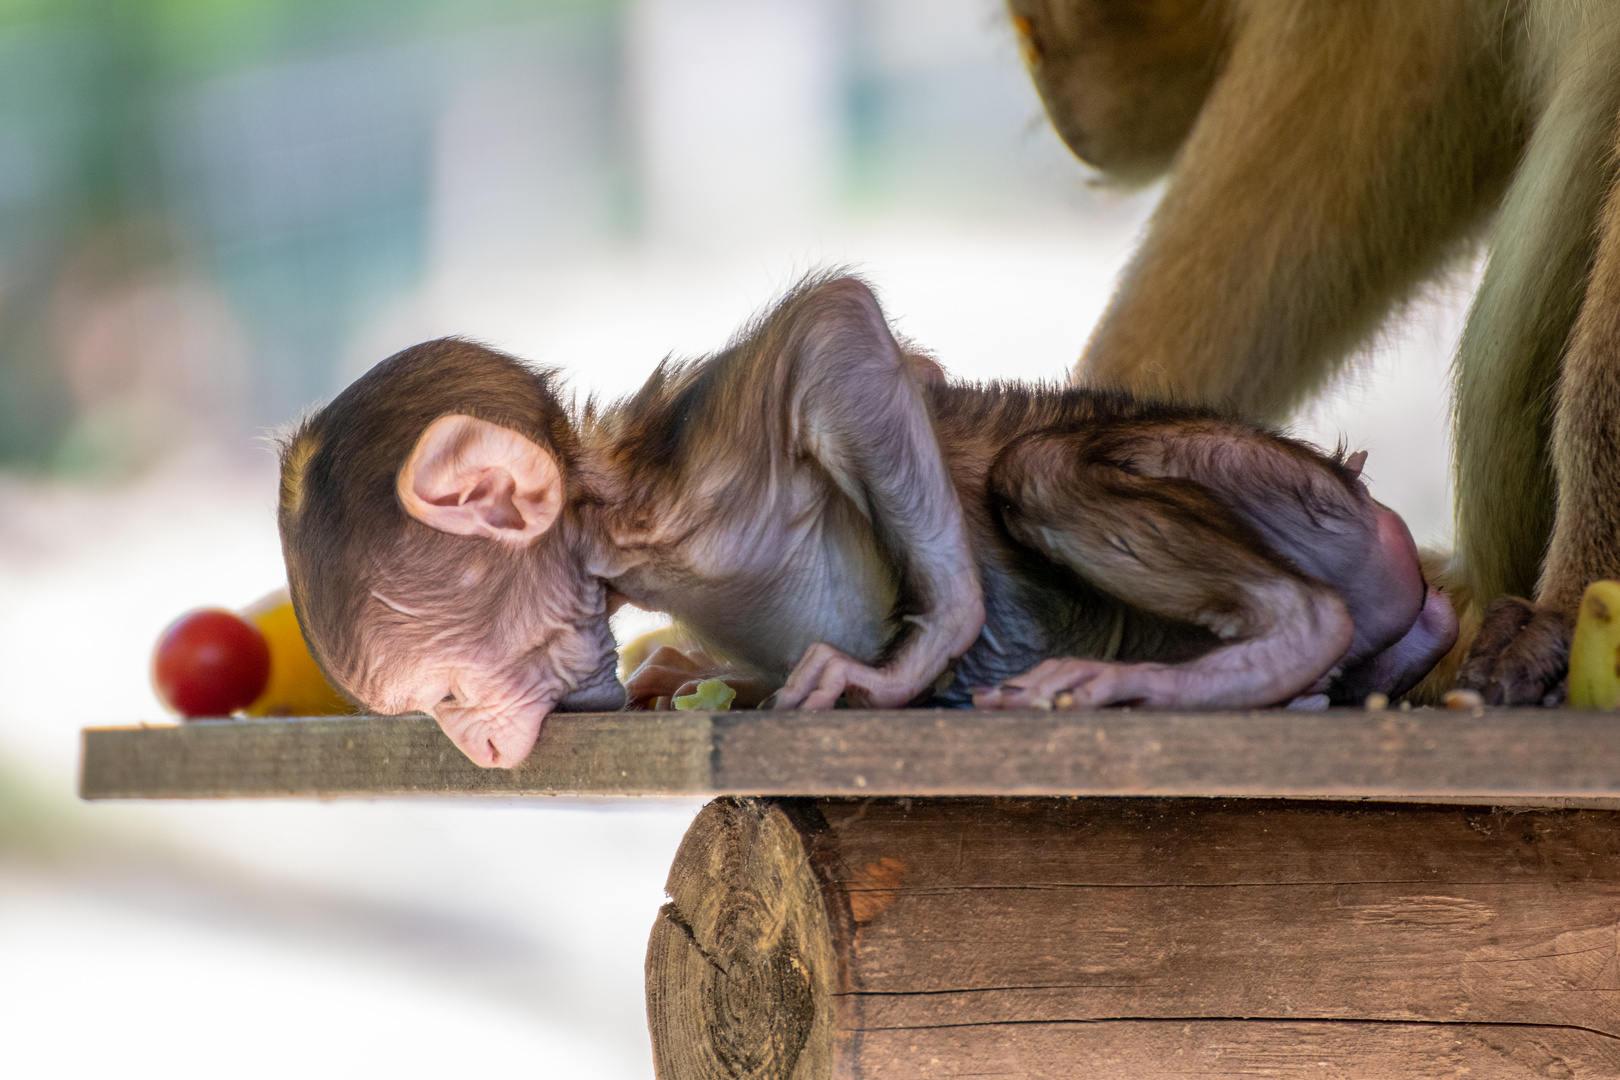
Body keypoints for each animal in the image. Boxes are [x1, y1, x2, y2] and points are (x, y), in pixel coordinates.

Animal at [278, 276, 1458, 767]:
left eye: (444, 695)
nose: (478, 746)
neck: (611, 541)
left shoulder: (700, 495)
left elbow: (839, 334)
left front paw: (911, 662)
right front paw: (684, 673)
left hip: (1291, 495)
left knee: (1037, 469)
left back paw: (1261, 649)